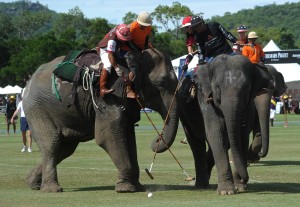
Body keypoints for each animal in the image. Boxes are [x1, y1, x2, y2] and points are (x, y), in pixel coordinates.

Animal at [22, 48, 180, 192]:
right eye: (161, 82)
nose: (157, 139)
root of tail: (29, 82)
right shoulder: (110, 94)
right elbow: (108, 134)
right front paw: (126, 189)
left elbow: (128, 134)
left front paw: (138, 187)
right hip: (36, 108)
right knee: (51, 144)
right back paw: (52, 189)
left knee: (65, 149)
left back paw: (32, 183)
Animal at [154, 54, 274, 195]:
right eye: (217, 87)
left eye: (246, 88)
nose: (243, 179)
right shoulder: (205, 98)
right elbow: (216, 132)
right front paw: (227, 192)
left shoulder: (248, 105)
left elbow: (241, 136)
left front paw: (239, 187)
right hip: (184, 109)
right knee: (196, 142)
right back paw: (201, 184)